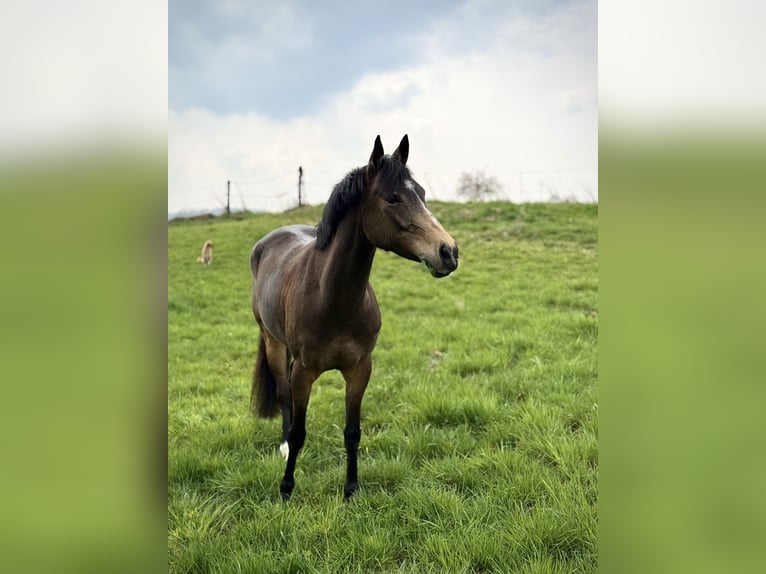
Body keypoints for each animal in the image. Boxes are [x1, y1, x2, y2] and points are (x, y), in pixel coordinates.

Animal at [249, 134, 459, 500]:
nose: (448, 251)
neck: (333, 298)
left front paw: (351, 489)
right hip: (273, 343)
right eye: (392, 198)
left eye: (421, 193)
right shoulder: (303, 372)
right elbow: (300, 430)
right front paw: (287, 488)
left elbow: (352, 432)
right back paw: (284, 446)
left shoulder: (360, 369)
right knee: (283, 395)